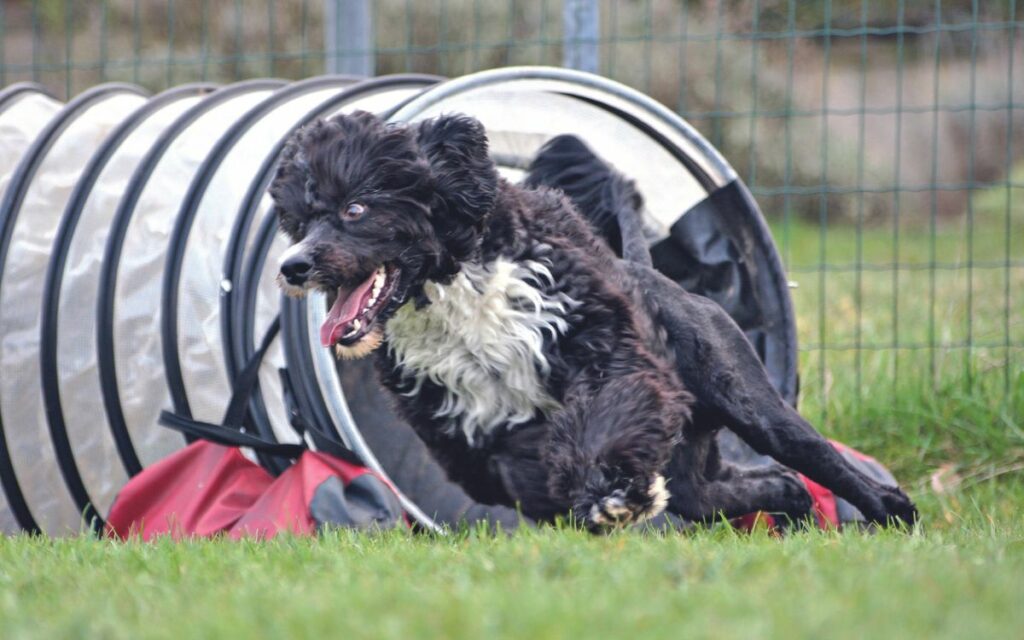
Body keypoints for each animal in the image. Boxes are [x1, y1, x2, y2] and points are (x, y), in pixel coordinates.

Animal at [268, 109, 917, 528]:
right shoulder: (475, 430)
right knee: (728, 490)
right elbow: (524, 470)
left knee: (810, 454)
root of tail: (651, 274)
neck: (450, 291)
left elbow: (604, 418)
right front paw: (601, 497)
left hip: (747, 398)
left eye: (355, 209)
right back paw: (794, 506)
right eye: (300, 220)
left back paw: (892, 509)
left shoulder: (607, 356)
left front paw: (609, 493)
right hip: (692, 458)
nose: (294, 266)